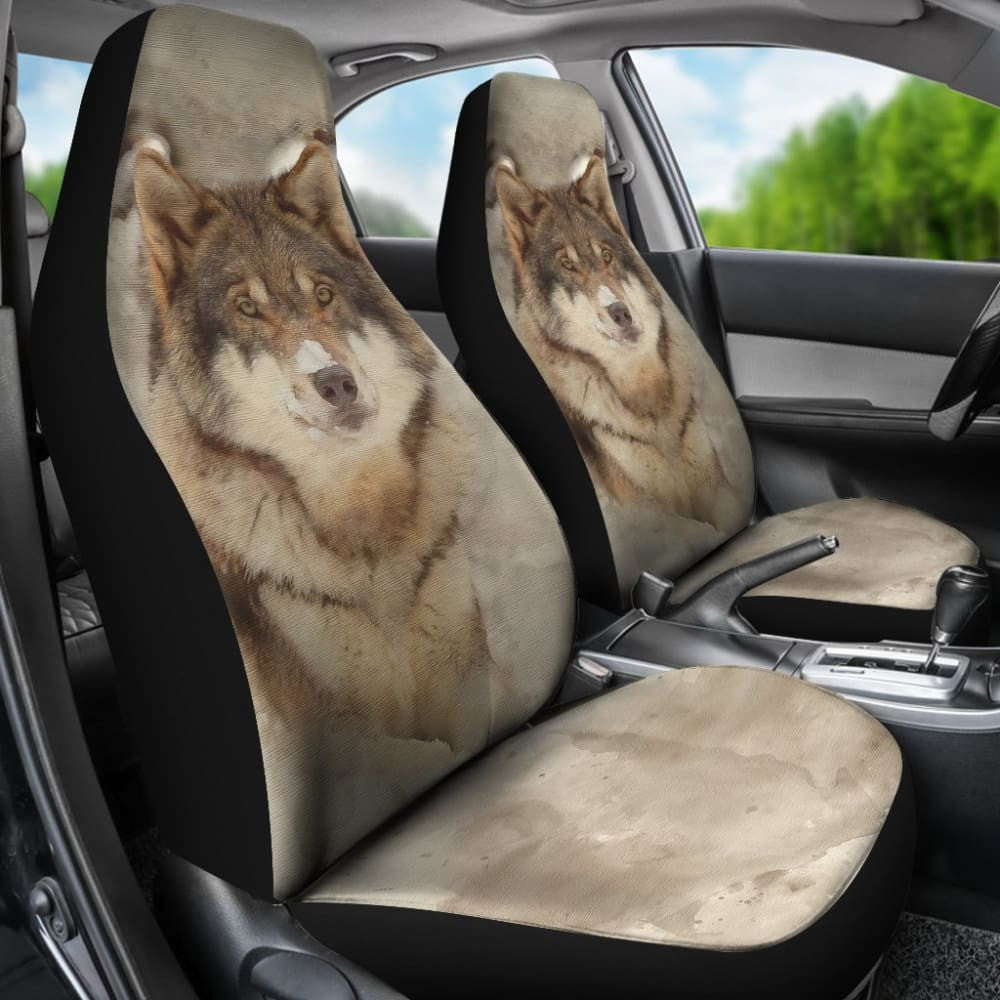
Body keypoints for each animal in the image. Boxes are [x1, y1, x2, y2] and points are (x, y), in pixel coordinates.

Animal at [131, 141, 499, 863]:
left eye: (324, 295)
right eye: (247, 310)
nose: (337, 383)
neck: (363, 531)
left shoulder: (461, 680)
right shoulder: (334, 725)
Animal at [491, 151, 751, 584]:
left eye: (607, 256)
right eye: (567, 265)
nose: (621, 313)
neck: (648, 404)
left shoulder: (712, 490)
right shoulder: (647, 508)